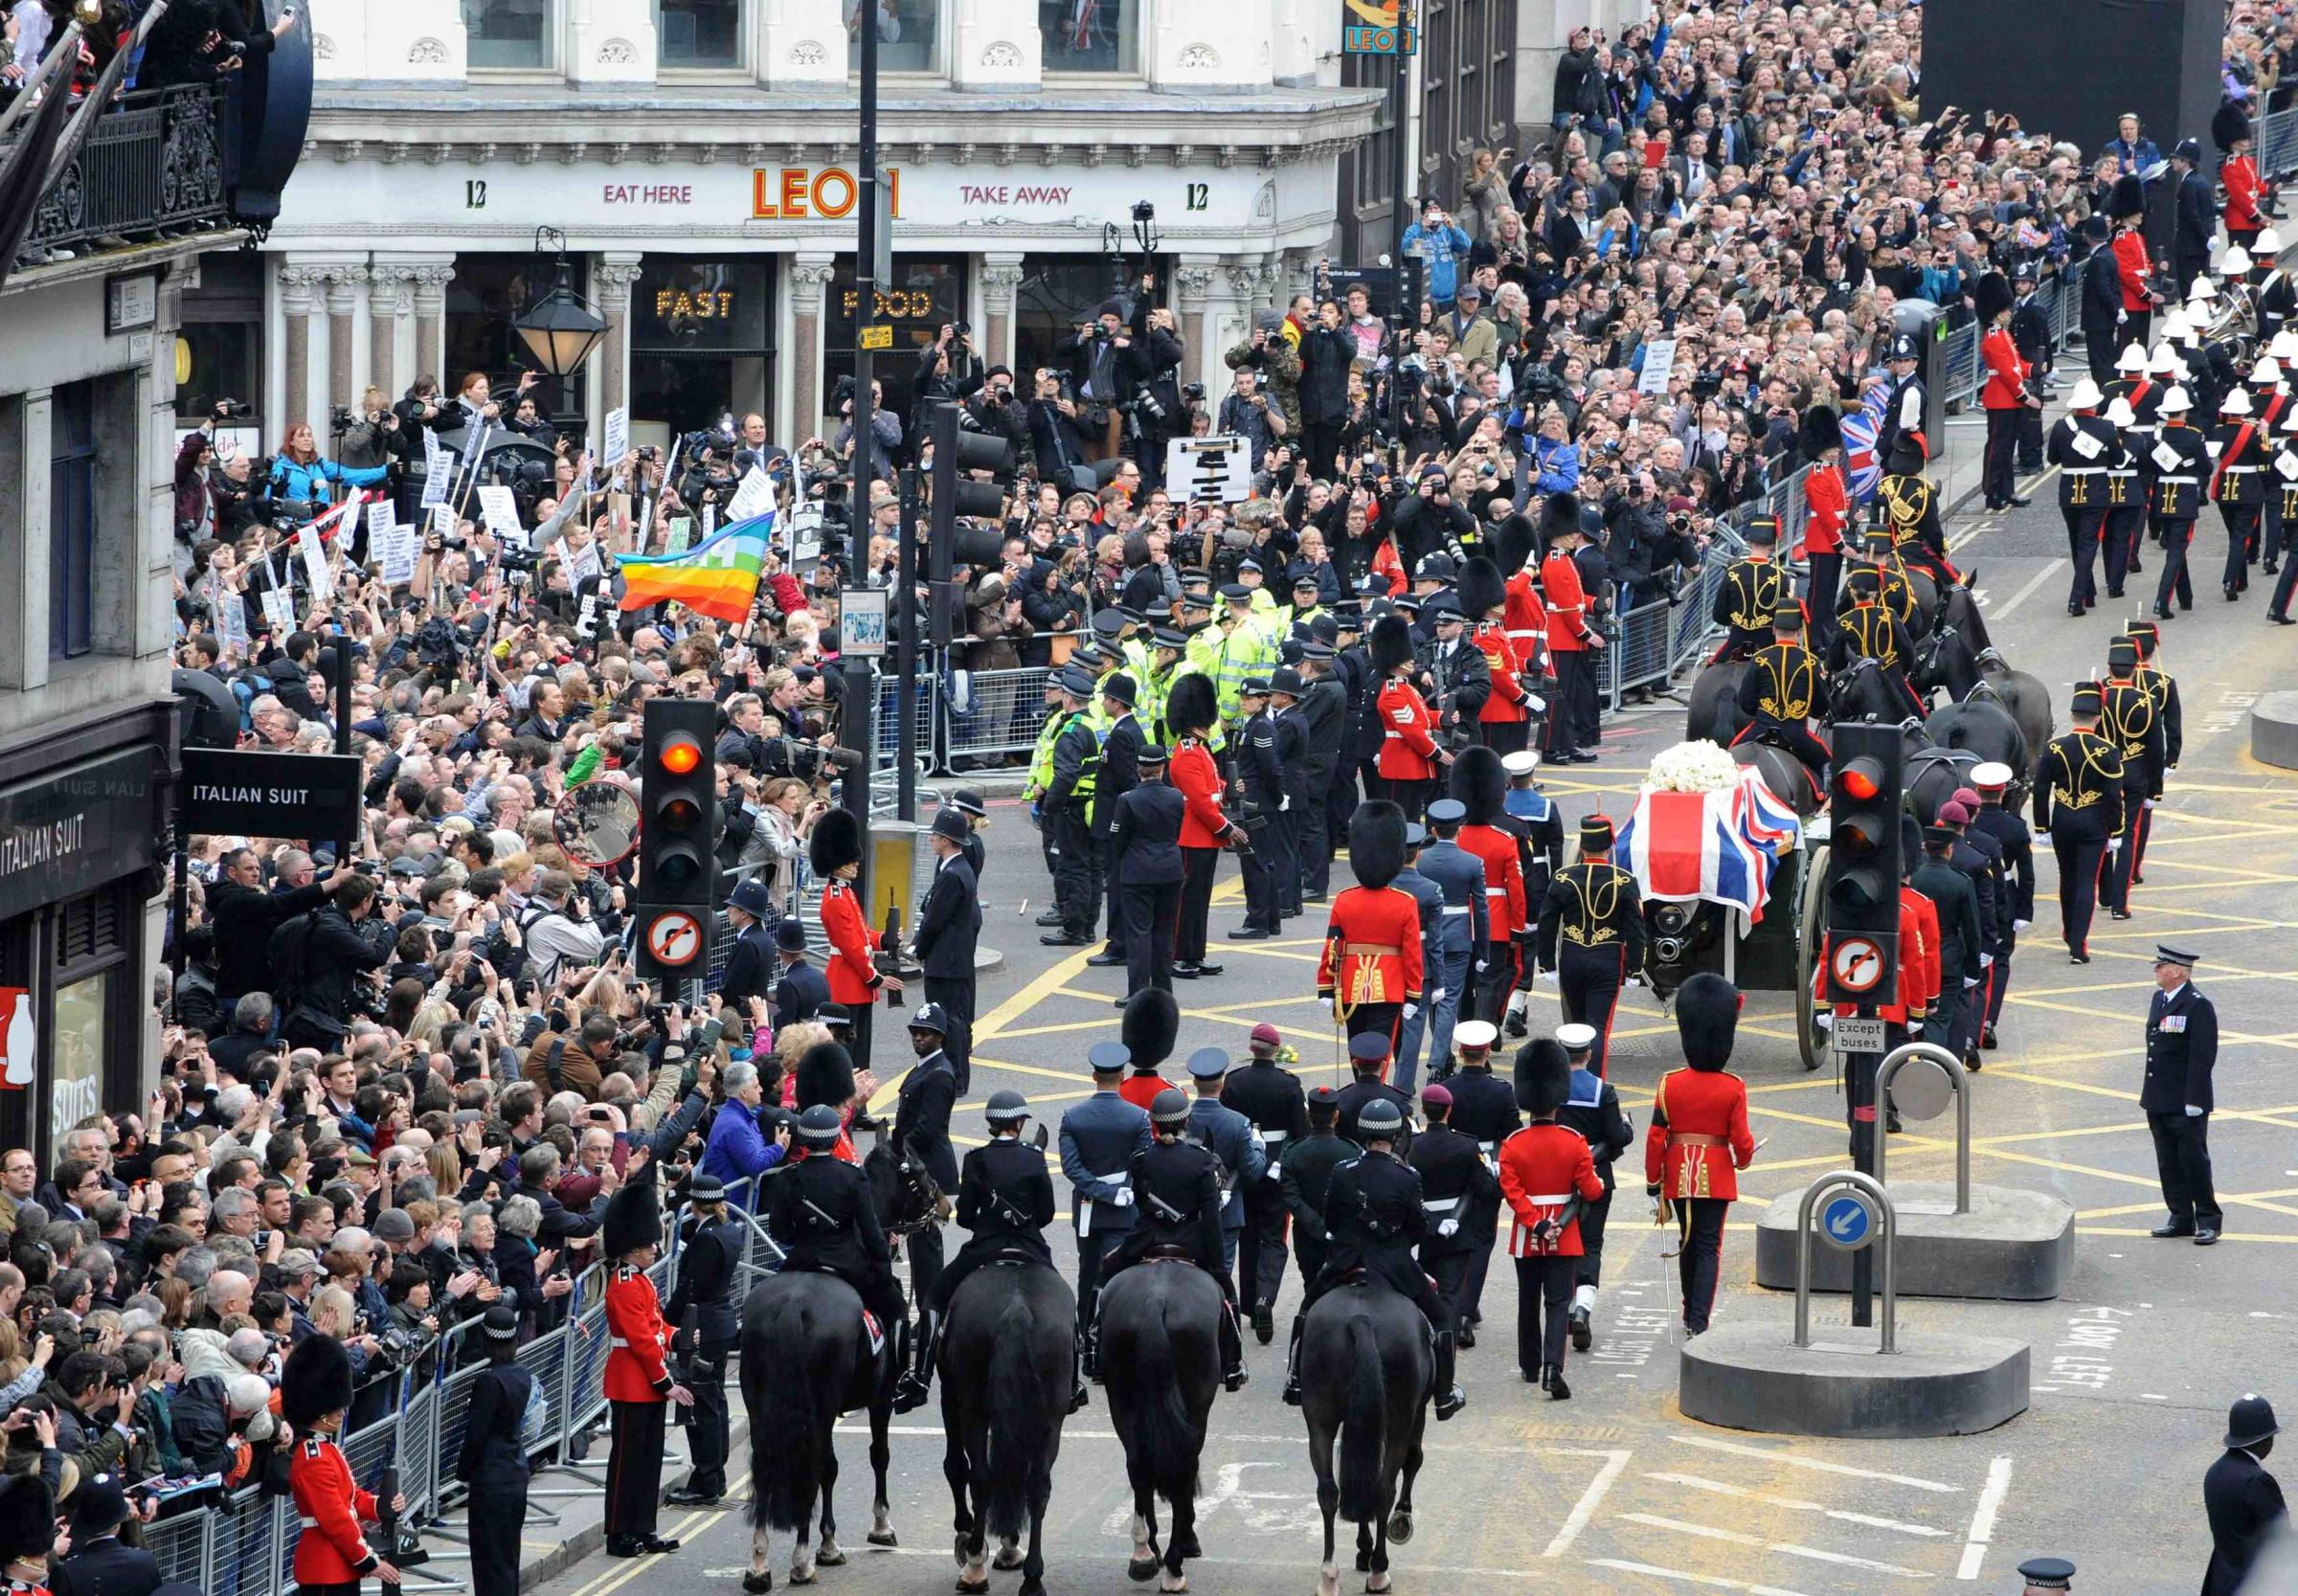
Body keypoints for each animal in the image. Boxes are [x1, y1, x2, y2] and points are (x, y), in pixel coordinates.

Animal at [942, 1258, 1075, 1596]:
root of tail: (1017, 1308)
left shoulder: (950, 1400)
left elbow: (955, 1467)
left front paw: (966, 1534)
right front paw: (1010, 1542)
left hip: (972, 1409)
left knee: (980, 1478)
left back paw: (974, 1564)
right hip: (1049, 1419)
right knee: (1037, 1486)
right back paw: (1032, 1577)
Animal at [1103, 1268, 1231, 1588]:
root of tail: (1156, 1300)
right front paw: (1189, 1538)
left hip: (1121, 1404)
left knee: (1138, 1467)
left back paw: (1144, 1555)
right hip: (1195, 1408)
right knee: (1183, 1470)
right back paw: (1174, 1567)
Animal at [1305, 1286, 1425, 1596]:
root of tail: (1360, 1318)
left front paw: (1363, 1548)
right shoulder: (1417, 1413)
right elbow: (1414, 1459)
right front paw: (1401, 1520)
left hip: (1320, 1419)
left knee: (1328, 1492)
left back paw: (1328, 1576)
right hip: (1399, 1420)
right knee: (1384, 1489)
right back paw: (1379, 1572)